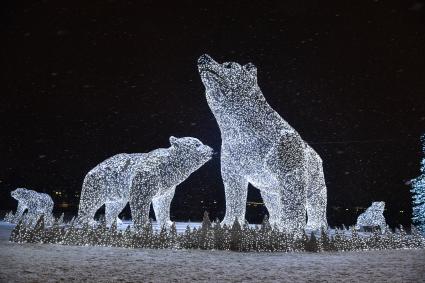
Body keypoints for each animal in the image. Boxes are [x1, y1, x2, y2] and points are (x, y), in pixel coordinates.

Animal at [76, 137, 212, 229]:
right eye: (196, 144)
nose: (211, 149)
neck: (168, 170)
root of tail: (92, 169)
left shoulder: (166, 187)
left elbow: (163, 203)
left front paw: (168, 222)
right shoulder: (147, 176)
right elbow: (140, 199)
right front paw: (143, 224)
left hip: (116, 189)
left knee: (115, 205)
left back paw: (113, 221)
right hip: (99, 183)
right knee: (90, 201)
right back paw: (88, 221)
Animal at [197, 53, 326, 233]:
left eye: (229, 65)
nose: (204, 56)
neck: (242, 133)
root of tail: (318, 155)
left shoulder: (286, 156)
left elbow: (293, 194)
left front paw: (291, 228)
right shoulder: (233, 161)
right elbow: (234, 193)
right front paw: (227, 224)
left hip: (315, 174)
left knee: (316, 199)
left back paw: (315, 226)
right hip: (270, 188)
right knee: (274, 200)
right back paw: (274, 223)